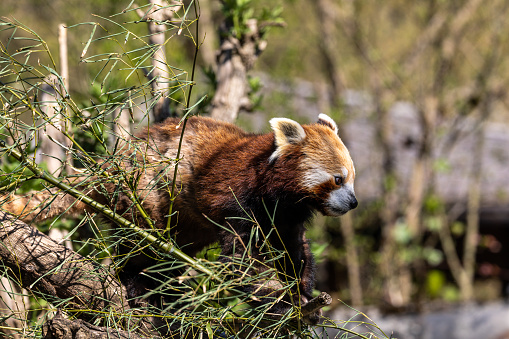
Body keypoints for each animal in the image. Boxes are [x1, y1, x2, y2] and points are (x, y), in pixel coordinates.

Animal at [0, 113, 358, 322]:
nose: (354, 202)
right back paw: (139, 289)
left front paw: (304, 294)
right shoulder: (237, 200)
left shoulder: (286, 217)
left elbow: (295, 254)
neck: (276, 194)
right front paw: (280, 302)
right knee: (142, 249)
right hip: (145, 194)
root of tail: (113, 161)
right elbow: (243, 260)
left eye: (352, 178)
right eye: (337, 179)